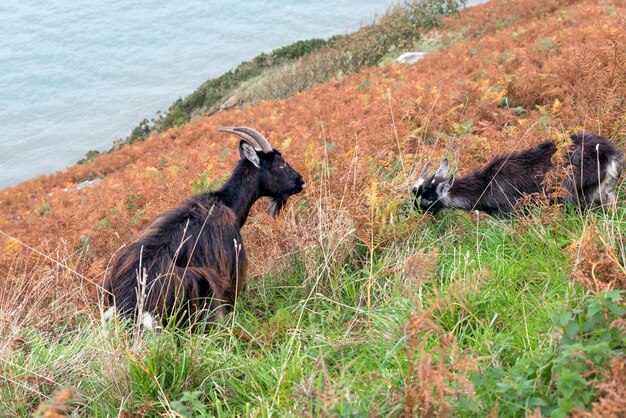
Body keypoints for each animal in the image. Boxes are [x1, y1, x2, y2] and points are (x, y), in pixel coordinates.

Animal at [412, 132, 620, 216]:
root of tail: (610, 156)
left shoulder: (513, 210)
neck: (486, 185)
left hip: (569, 191)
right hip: (602, 190)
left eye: (428, 200)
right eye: (415, 191)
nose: (416, 215)